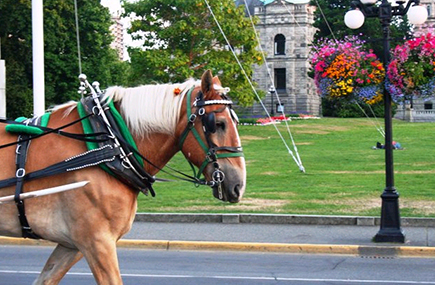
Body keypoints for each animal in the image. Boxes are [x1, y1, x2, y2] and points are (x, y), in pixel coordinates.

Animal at [0, 70, 245, 282]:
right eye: (217, 124)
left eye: (236, 121)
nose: (239, 185)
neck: (109, 146)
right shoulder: (98, 242)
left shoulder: (72, 245)